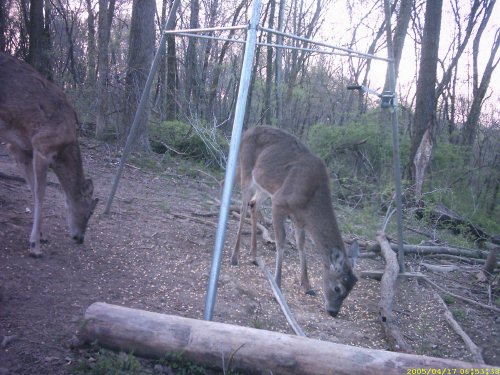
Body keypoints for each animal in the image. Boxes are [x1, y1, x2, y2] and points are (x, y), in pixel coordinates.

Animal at [0, 52, 98, 258]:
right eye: (89, 212)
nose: (80, 238)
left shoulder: (19, 149)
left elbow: (32, 188)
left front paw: (42, 236)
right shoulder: (42, 147)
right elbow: (40, 193)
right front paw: (35, 246)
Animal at [232, 126, 358, 318]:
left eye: (350, 291)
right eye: (338, 288)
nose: (333, 312)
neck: (311, 199)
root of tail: (248, 130)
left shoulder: (299, 219)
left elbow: (301, 244)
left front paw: (307, 286)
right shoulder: (279, 203)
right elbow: (281, 241)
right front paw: (277, 286)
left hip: (265, 185)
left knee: (253, 204)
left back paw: (253, 255)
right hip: (246, 169)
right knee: (243, 206)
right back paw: (235, 257)